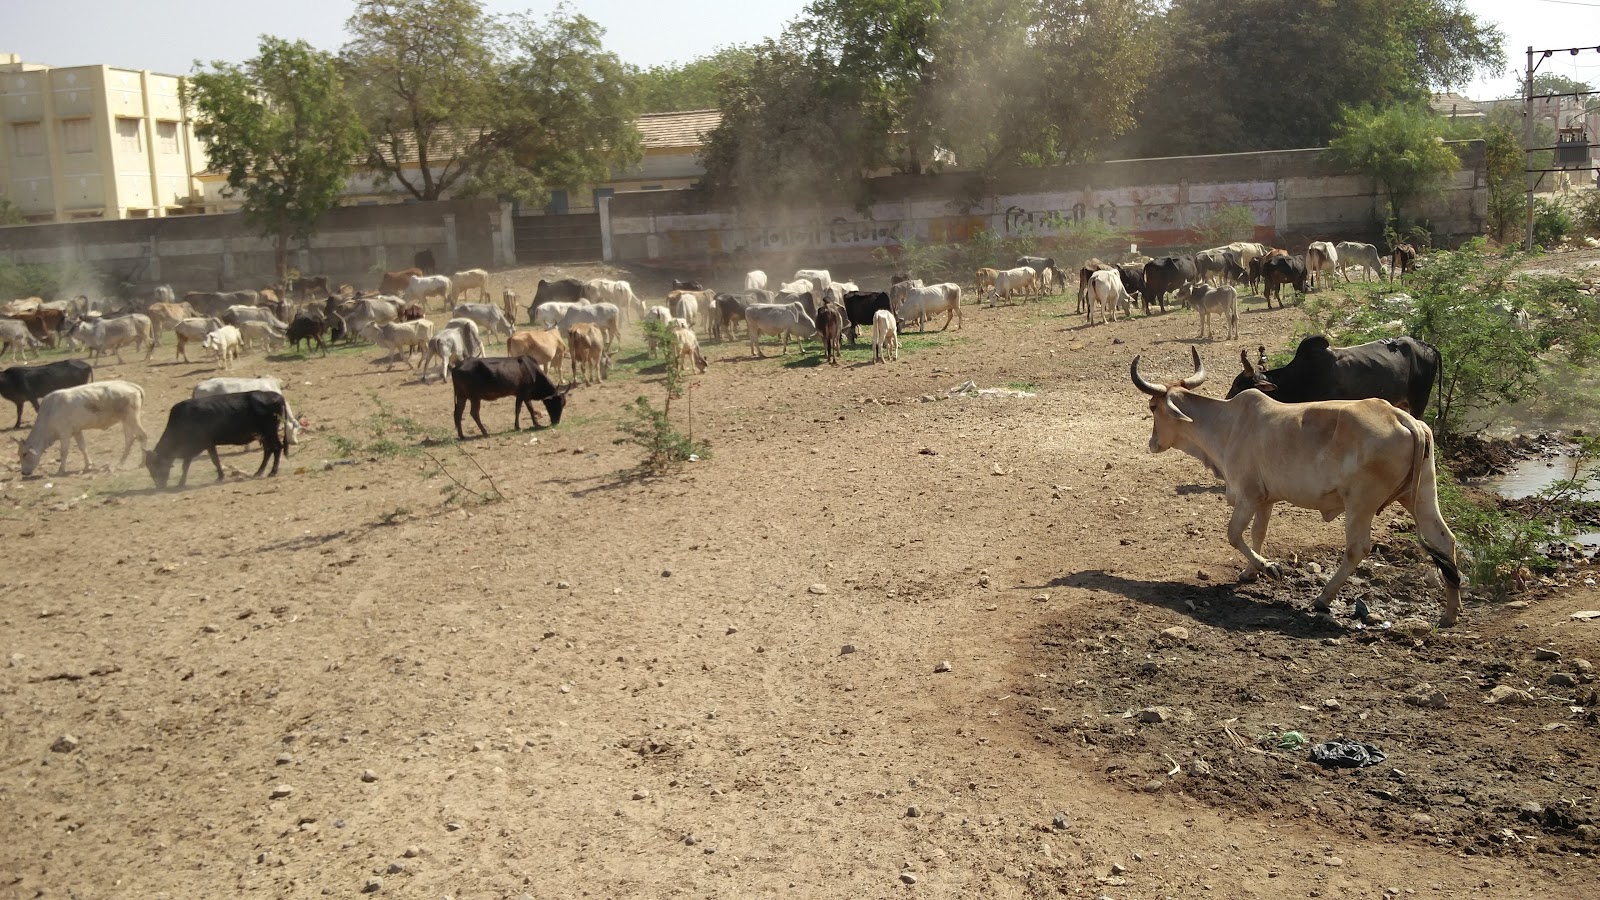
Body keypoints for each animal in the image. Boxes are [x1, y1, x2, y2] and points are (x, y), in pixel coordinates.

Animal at [16, 380, 147, 476]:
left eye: (24, 454)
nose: (24, 473)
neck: (49, 413)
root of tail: (130, 384)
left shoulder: (65, 433)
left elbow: (64, 452)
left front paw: (61, 470)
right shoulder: (76, 431)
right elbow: (82, 447)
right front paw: (88, 465)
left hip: (132, 419)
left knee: (142, 436)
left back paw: (142, 463)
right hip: (126, 421)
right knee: (129, 440)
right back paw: (120, 463)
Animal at [144, 391, 286, 489]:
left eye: (155, 467)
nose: (159, 486)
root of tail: (277, 396)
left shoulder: (199, 445)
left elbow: (200, 463)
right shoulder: (206, 445)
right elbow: (212, 461)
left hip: (270, 433)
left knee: (277, 448)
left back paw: (273, 472)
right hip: (264, 435)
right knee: (268, 450)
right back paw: (259, 472)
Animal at [1130, 348, 1462, 626]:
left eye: (1152, 406)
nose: (1152, 442)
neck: (1227, 425)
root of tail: (1406, 420)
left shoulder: (1248, 495)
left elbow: (1234, 535)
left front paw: (1268, 568)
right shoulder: (1265, 500)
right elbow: (1257, 534)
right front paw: (1251, 572)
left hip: (1360, 504)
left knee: (1357, 548)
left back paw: (1323, 597)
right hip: (1421, 495)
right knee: (1444, 540)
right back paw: (1450, 613)